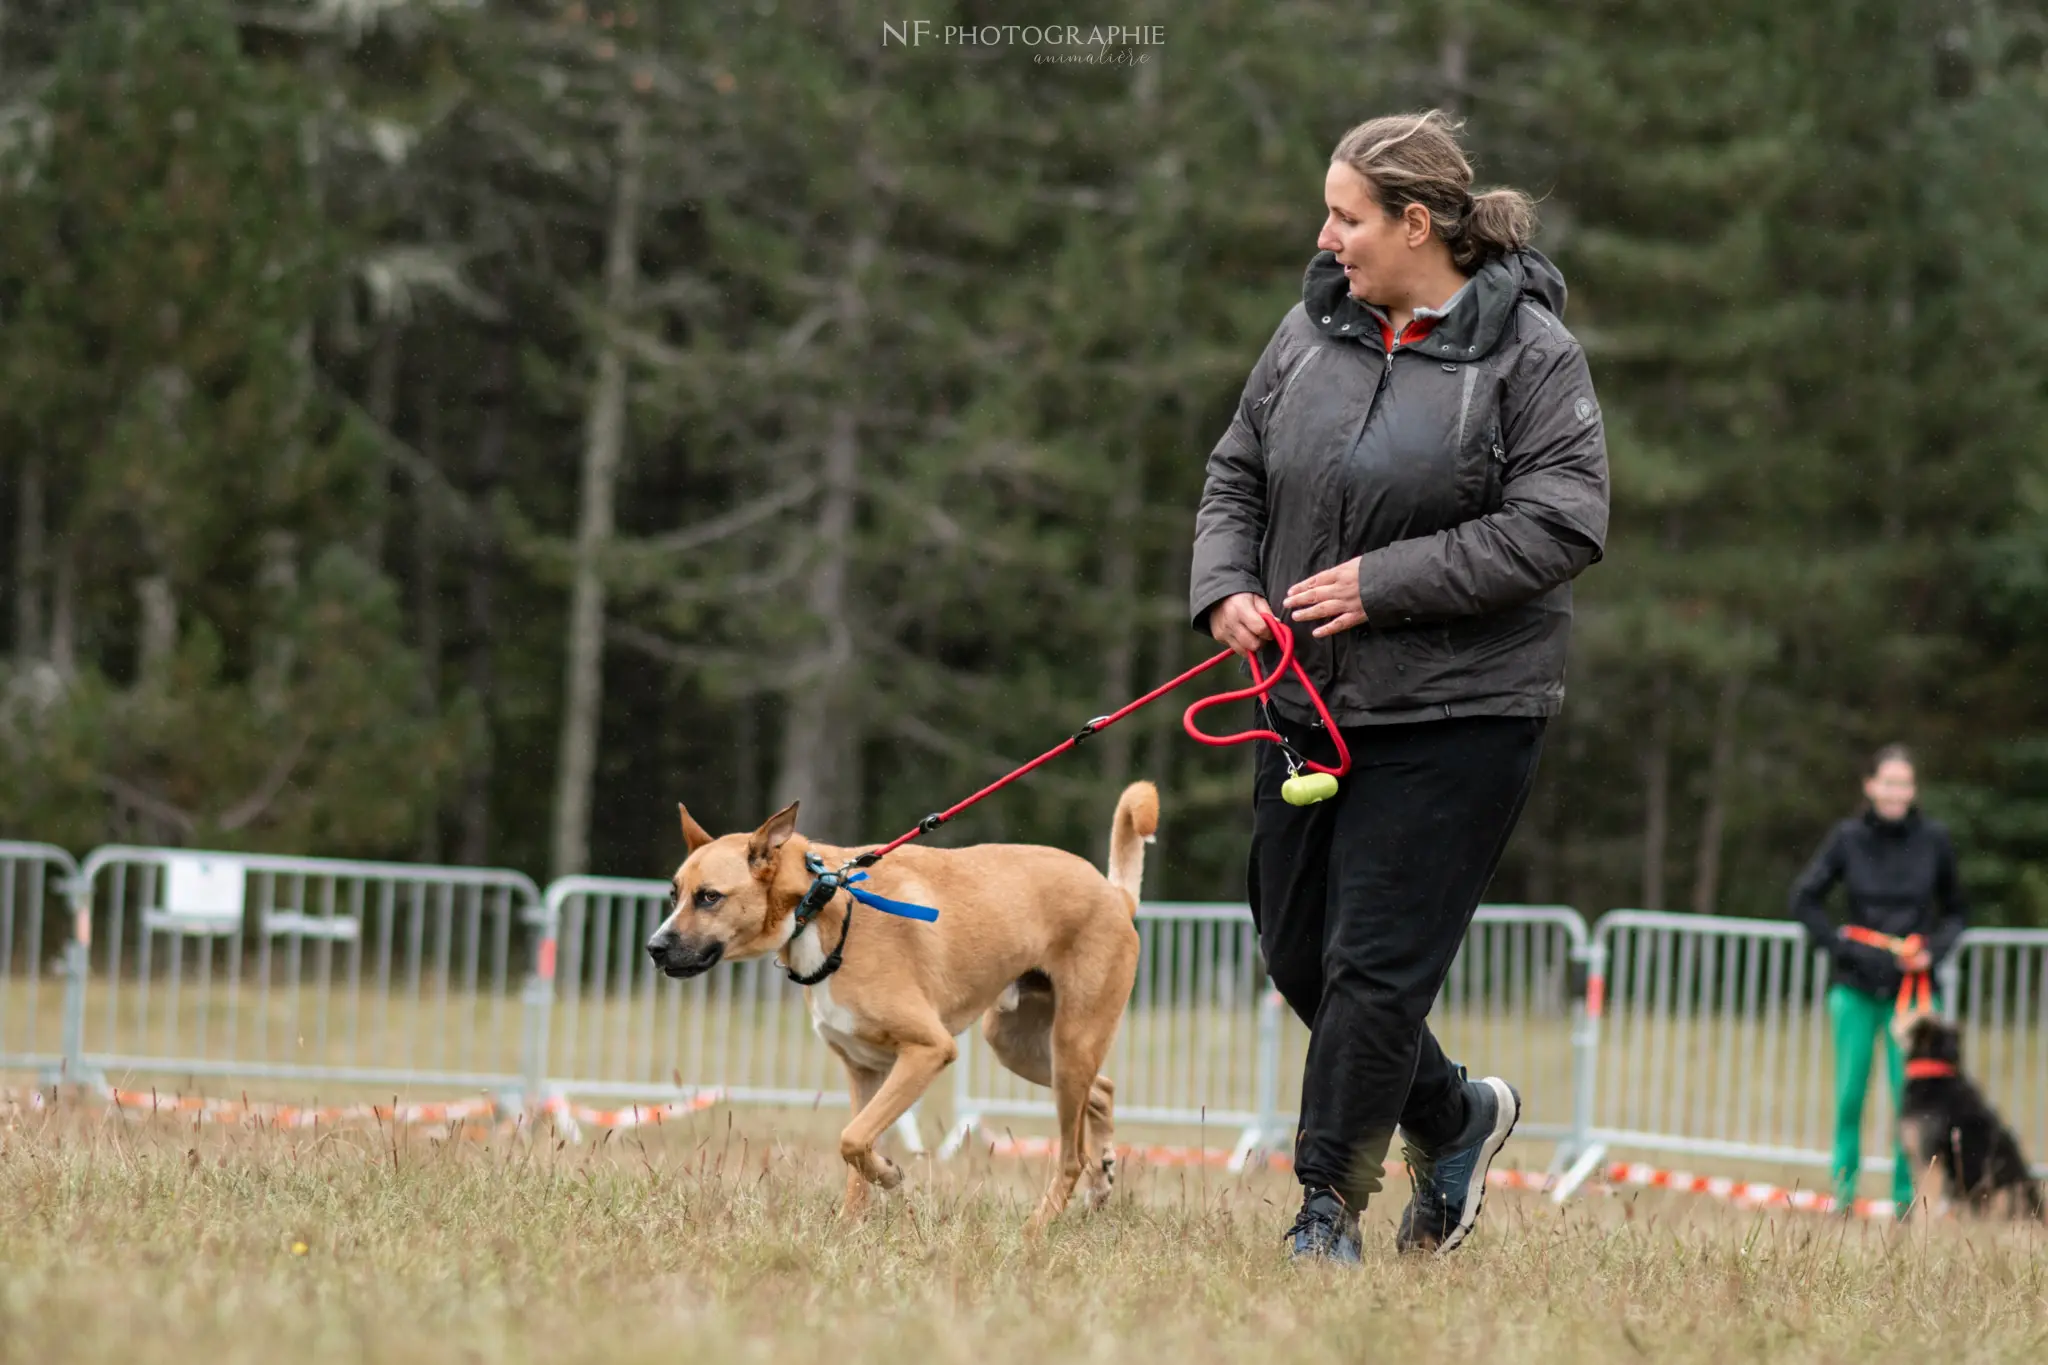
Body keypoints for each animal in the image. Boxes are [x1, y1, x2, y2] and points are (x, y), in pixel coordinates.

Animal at [643, 785, 1155, 1236]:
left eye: (710, 897)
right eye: (674, 895)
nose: (654, 948)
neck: (822, 902)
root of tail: (1114, 894)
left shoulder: (928, 1051)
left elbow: (852, 1139)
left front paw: (889, 1175)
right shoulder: (863, 1070)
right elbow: (855, 1153)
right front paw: (849, 1229)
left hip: (1071, 1042)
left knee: (1071, 1156)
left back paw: (1035, 1231)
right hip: (1020, 1046)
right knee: (1102, 1090)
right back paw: (1102, 1179)